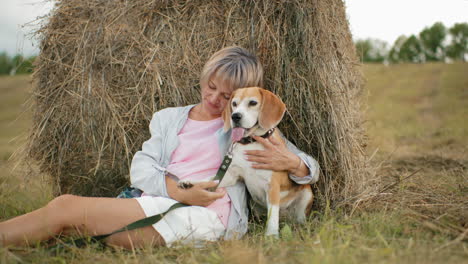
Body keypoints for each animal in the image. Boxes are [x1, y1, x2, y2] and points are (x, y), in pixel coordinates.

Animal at [217, 87, 312, 237]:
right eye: (234, 104)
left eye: (253, 103)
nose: (235, 116)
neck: (252, 143)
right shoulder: (231, 176)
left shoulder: (272, 186)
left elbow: (272, 215)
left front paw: (271, 235)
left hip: (307, 193)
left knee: (298, 217)